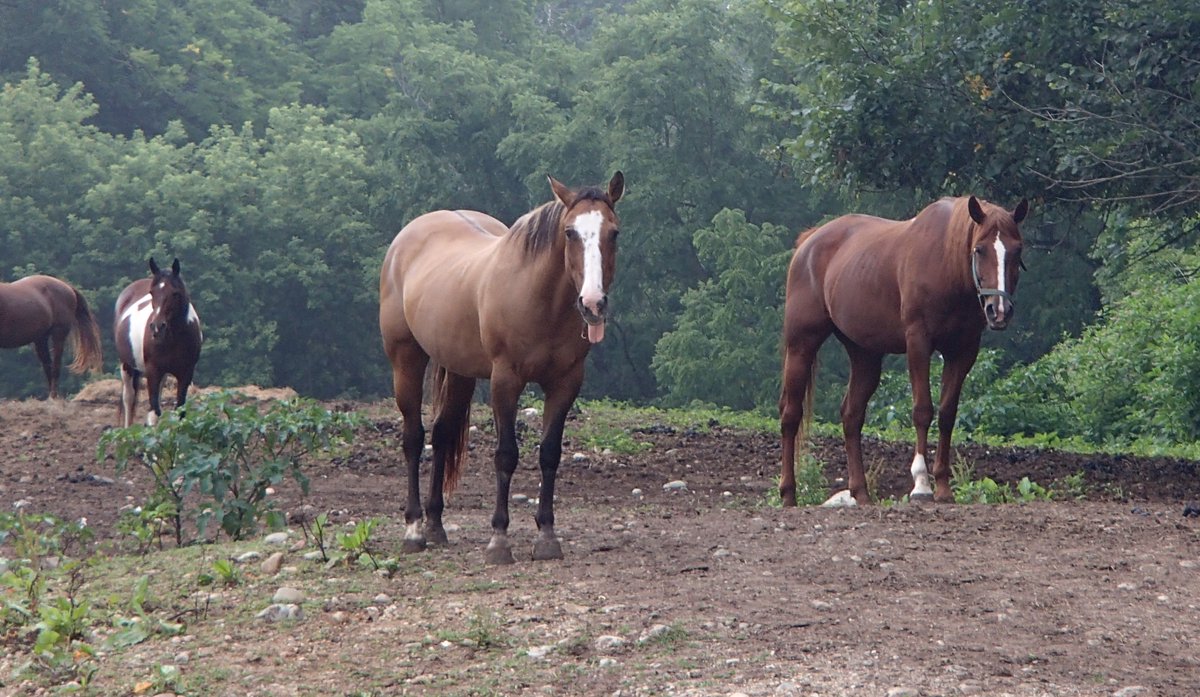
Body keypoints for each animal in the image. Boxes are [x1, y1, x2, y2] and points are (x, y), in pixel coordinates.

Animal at [114, 258, 203, 427]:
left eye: (175, 293)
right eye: (152, 293)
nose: (157, 326)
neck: (173, 339)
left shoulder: (186, 373)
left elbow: (180, 410)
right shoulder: (153, 371)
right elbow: (154, 412)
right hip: (127, 366)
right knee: (129, 399)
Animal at [379, 171, 624, 565]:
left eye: (613, 232)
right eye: (570, 232)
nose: (592, 304)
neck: (541, 299)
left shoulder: (566, 382)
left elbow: (549, 453)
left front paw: (547, 537)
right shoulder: (505, 380)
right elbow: (506, 455)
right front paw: (499, 540)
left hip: (459, 370)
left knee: (441, 435)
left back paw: (435, 525)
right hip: (406, 359)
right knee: (414, 438)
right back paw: (414, 529)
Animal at [779, 196, 1029, 506]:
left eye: (1017, 250)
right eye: (979, 249)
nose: (1000, 310)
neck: (946, 264)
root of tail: (808, 242)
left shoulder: (963, 351)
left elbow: (947, 414)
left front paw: (943, 487)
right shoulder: (918, 343)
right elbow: (922, 410)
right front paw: (921, 485)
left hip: (864, 355)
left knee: (851, 416)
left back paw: (861, 493)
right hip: (801, 345)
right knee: (791, 415)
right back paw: (788, 495)